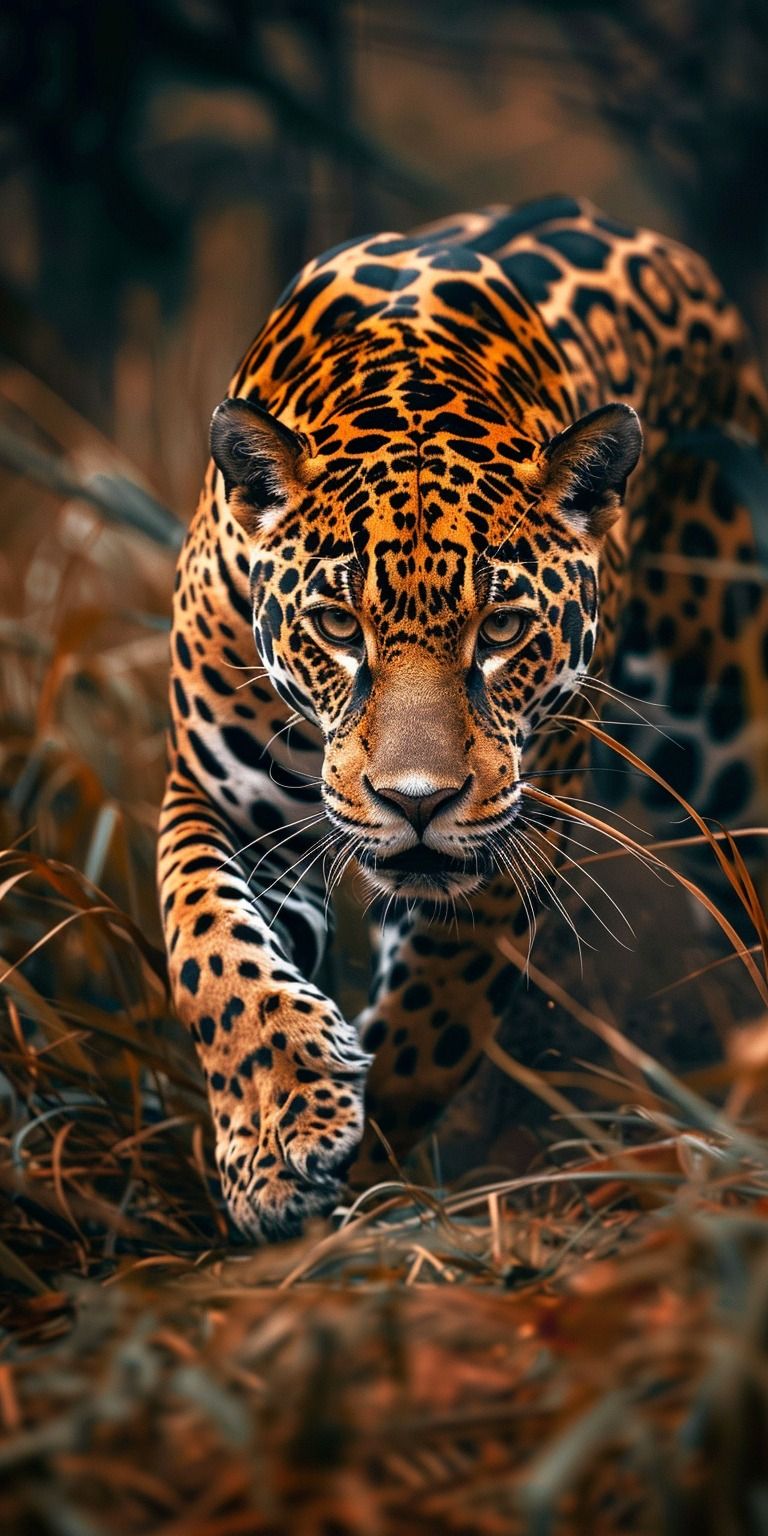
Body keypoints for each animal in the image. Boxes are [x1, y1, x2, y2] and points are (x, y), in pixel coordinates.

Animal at [158, 194, 768, 1241]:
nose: (416, 802)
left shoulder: (500, 856)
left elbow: (425, 1034)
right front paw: (281, 1135)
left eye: (503, 628)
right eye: (337, 625)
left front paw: (360, 1181)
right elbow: (208, 945)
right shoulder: (219, 794)